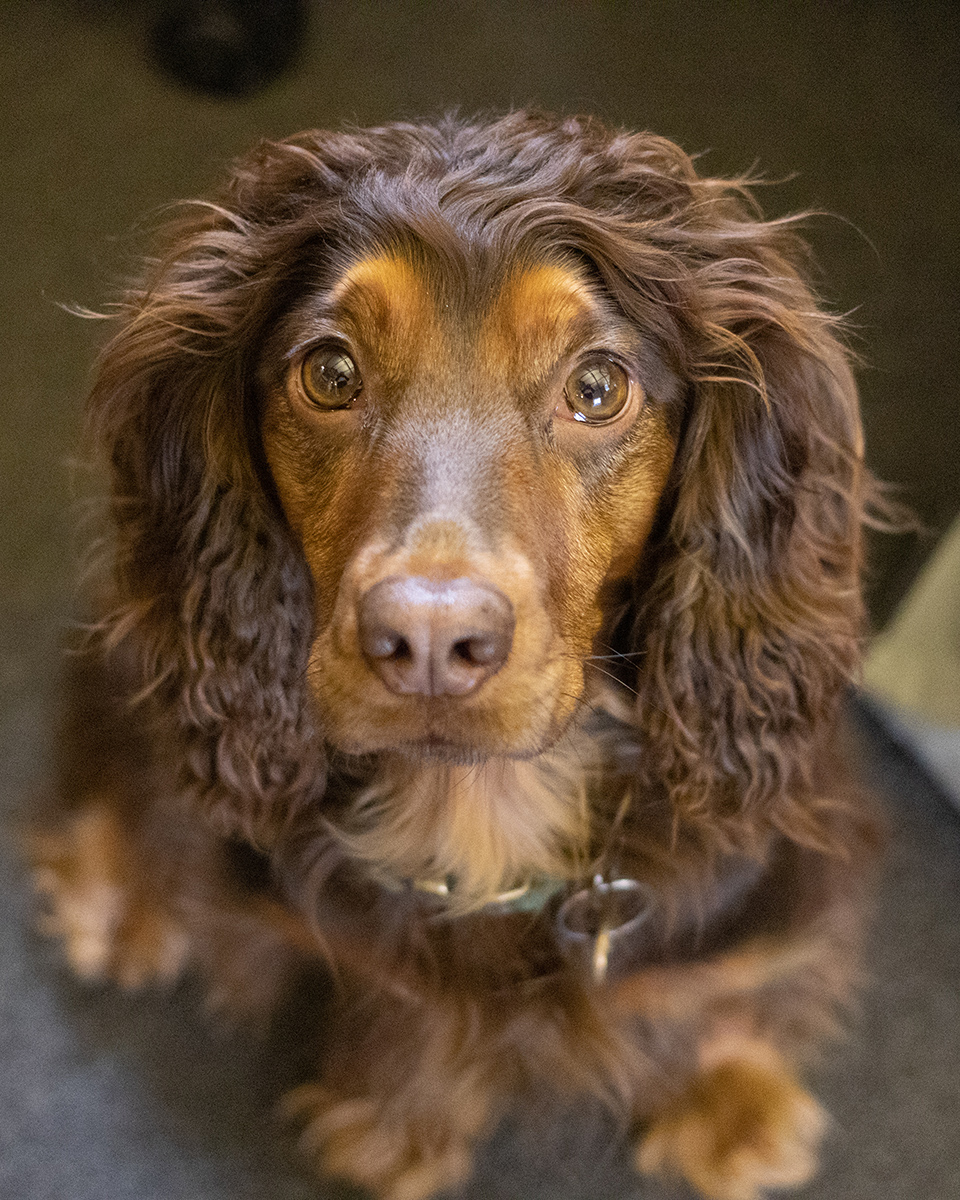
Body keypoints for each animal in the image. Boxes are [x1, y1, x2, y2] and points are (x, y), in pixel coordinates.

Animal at [33, 114, 883, 1200]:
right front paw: (403, 1122)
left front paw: (727, 1091)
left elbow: (727, 978)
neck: (484, 809)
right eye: (330, 373)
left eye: (596, 387)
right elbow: (412, 1007)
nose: (430, 643)